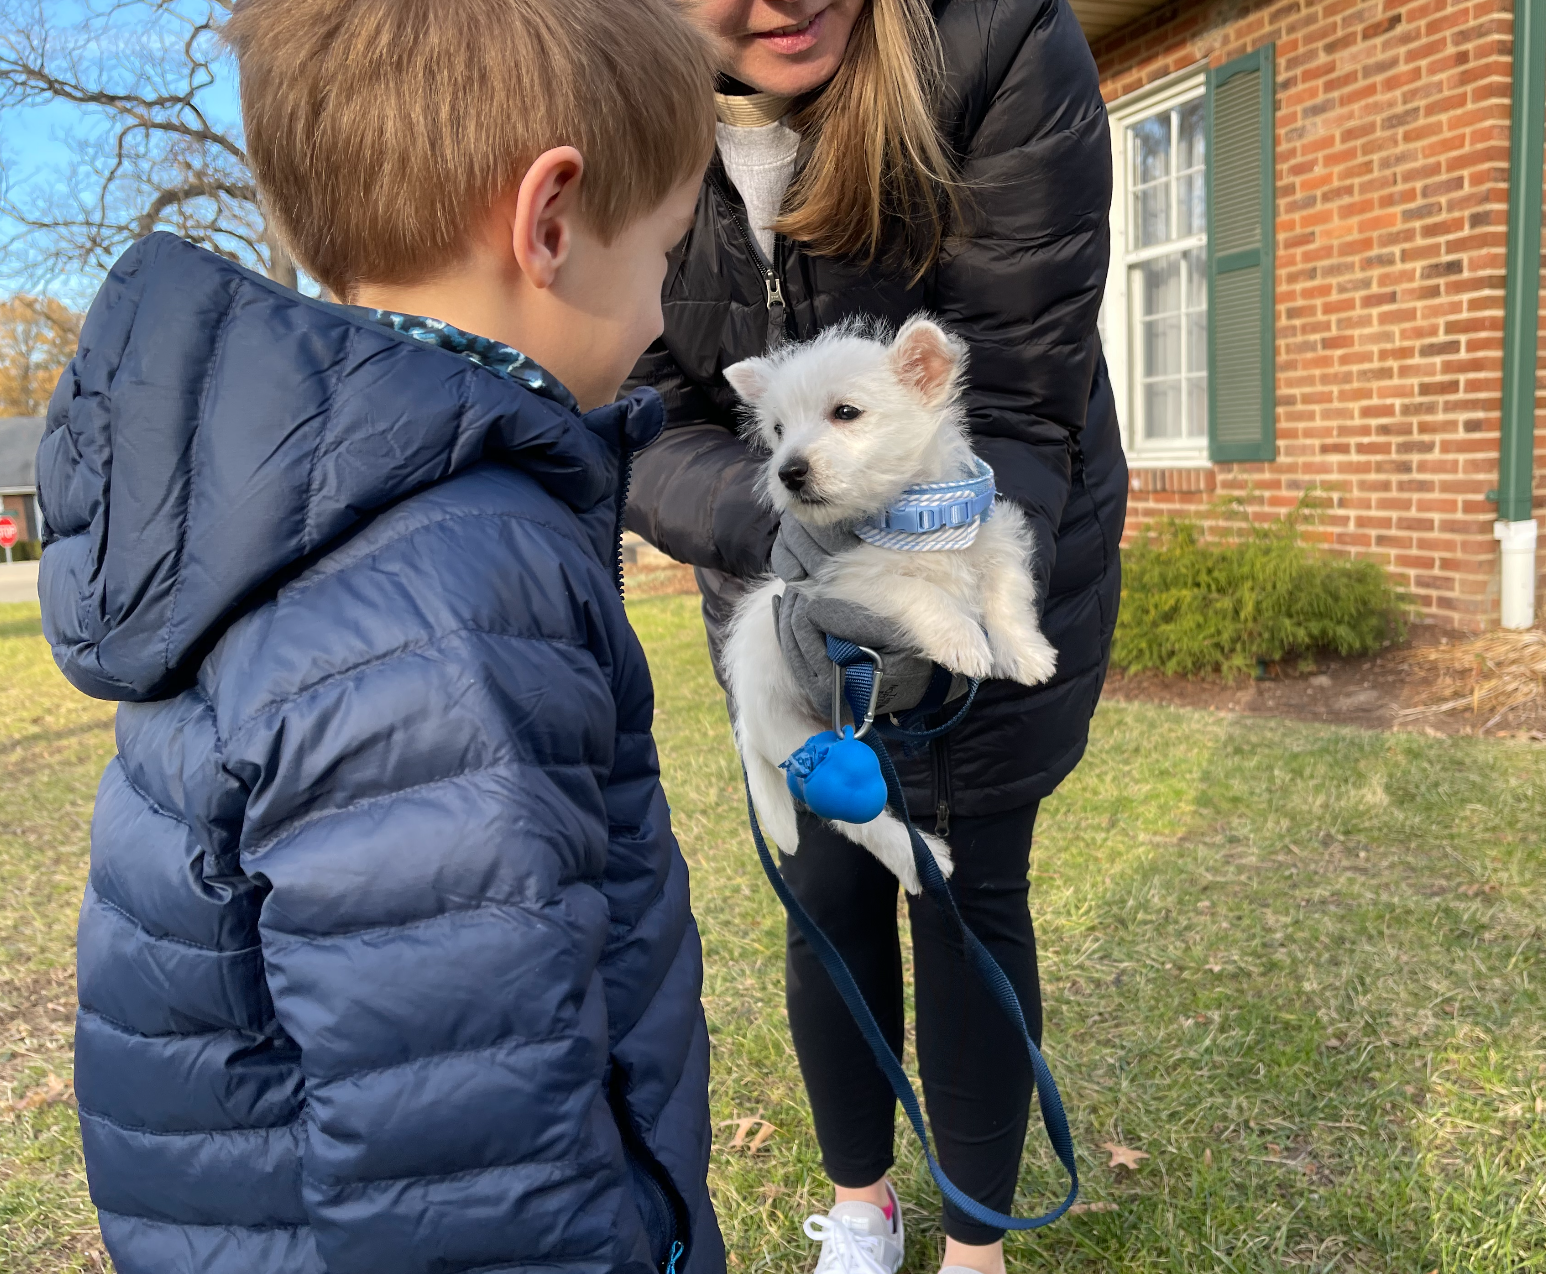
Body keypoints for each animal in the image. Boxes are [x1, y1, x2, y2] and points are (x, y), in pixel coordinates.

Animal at [721, 315, 1057, 893]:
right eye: (779, 430)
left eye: (845, 412)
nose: (788, 472)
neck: (914, 519)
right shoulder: (845, 580)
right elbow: (919, 591)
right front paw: (964, 642)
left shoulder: (995, 539)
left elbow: (1006, 593)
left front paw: (1027, 653)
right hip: (804, 743)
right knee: (860, 823)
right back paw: (924, 859)